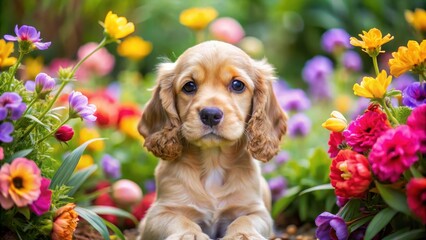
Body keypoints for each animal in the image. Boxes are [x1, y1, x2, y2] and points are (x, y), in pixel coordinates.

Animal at [138, 40, 288, 239]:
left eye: (237, 85)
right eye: (189, 86)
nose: (210, 114)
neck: (213, 162)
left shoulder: (256, 211)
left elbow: (245, 220)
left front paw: (242, 235)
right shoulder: (158, 214)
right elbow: (179, 220)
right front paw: (189, 235)